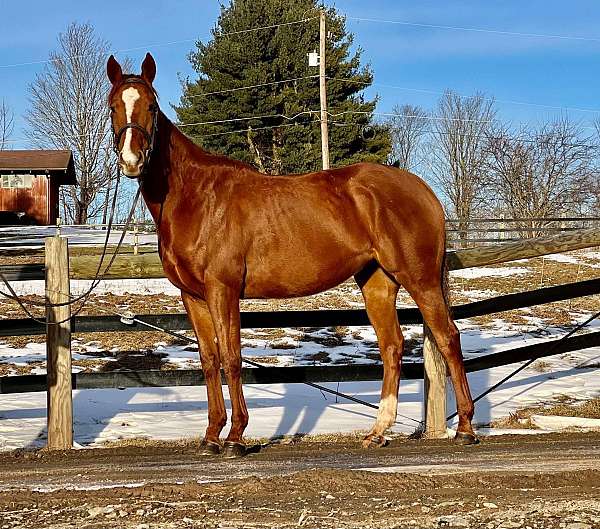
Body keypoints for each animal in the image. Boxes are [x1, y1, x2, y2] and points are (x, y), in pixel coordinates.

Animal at [105, 54, 476, 458]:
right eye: (113, 107)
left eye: (151, 107)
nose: (132, 160)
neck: (197, 197)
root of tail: (423, 190)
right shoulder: (193, 296)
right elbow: (209, 359)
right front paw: (211, 435)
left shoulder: (223, 290)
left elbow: (232, 357)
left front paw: (235, 436)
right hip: (378, 282)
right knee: (391, 346)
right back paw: (378, 432)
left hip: (420, 278)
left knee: (448, 337)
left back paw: (466, 428)